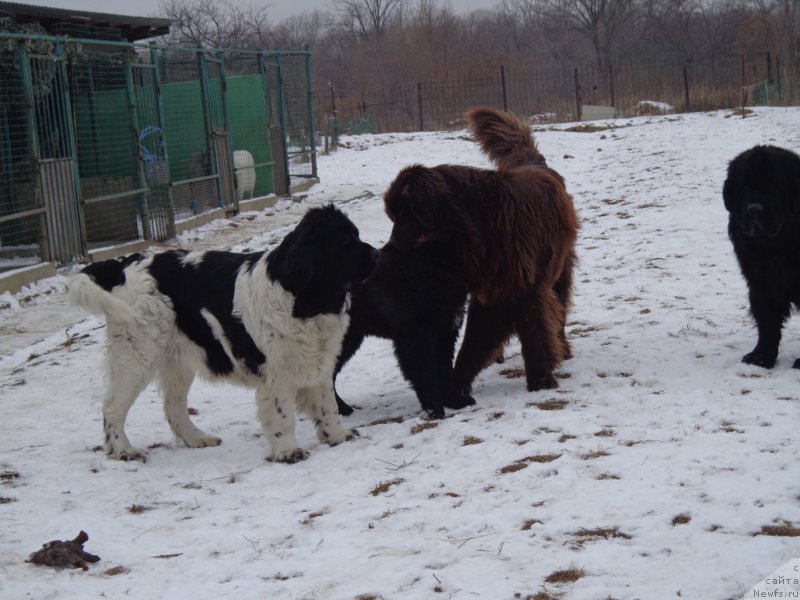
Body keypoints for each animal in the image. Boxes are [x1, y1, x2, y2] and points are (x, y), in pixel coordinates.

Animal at [67, 204, 376, 462]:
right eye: (345, 242)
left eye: (356, 235)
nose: (376, 254)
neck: (305, 300)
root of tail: (123, 264)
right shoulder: (275, 371)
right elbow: (282, 415)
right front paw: (288, 450)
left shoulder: (320, 359)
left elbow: (326, 403)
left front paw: (337, 436)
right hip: (136, 355)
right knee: (113, 407)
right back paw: (124, 450)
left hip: (177, 359)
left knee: (173, 406)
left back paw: (197, 439)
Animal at [332, 241, 476, 420]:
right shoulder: (417, 340)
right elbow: (427, 376)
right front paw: (434, 408)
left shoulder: (445, 337)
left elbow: (445, 373)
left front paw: (456, 402)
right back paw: (341, 409)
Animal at [384, 108, 580, 396]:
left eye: (401, 216)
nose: (390, 246)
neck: (481, 224)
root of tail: (535, 164)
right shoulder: (489, 293)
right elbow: (472, 344)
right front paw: (456, 385)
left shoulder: (526, 289)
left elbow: (534, 334)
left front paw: (541, 379)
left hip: (560, 270)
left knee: (560, 312)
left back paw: (562, 349)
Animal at [720, 145, 800, 368]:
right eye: (745, 188)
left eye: (773, 187)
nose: (754, 210)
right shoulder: (760, 282)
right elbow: (767, 322)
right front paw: (761, 356)